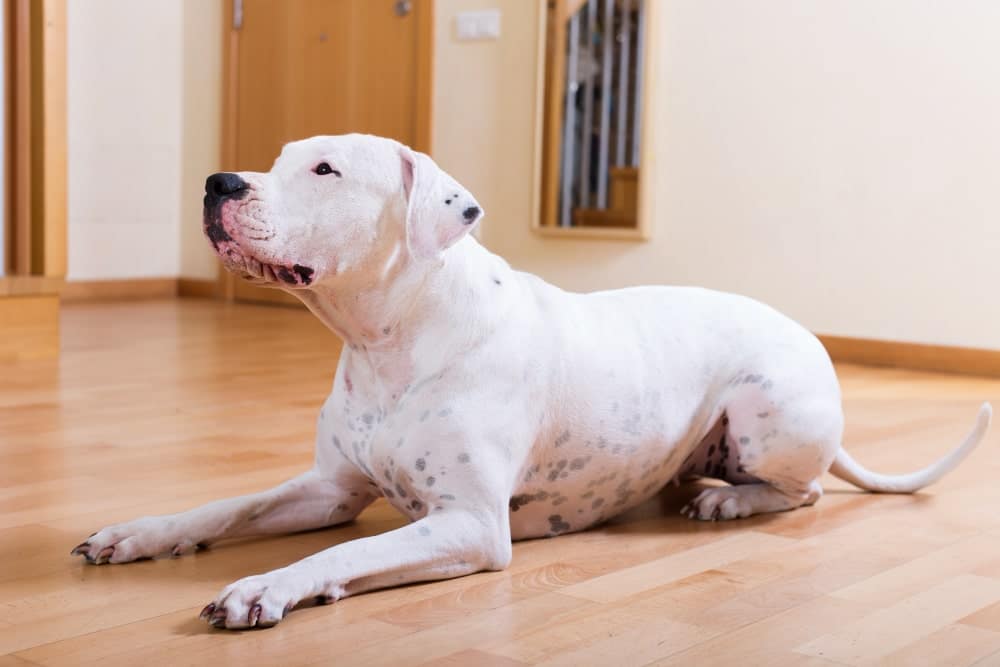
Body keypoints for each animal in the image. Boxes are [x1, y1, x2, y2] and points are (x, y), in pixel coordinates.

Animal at [72, 133, 992, 628]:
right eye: (277, 159)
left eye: (326, 170)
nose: (217, 181)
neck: (389, 342)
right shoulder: (326, 487)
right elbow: (227, 507)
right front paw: (140, 533)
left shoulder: (469, 524)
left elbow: (347, 548)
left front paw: (268, 585)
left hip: (764, 409)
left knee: (803, 492)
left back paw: (730, 500)